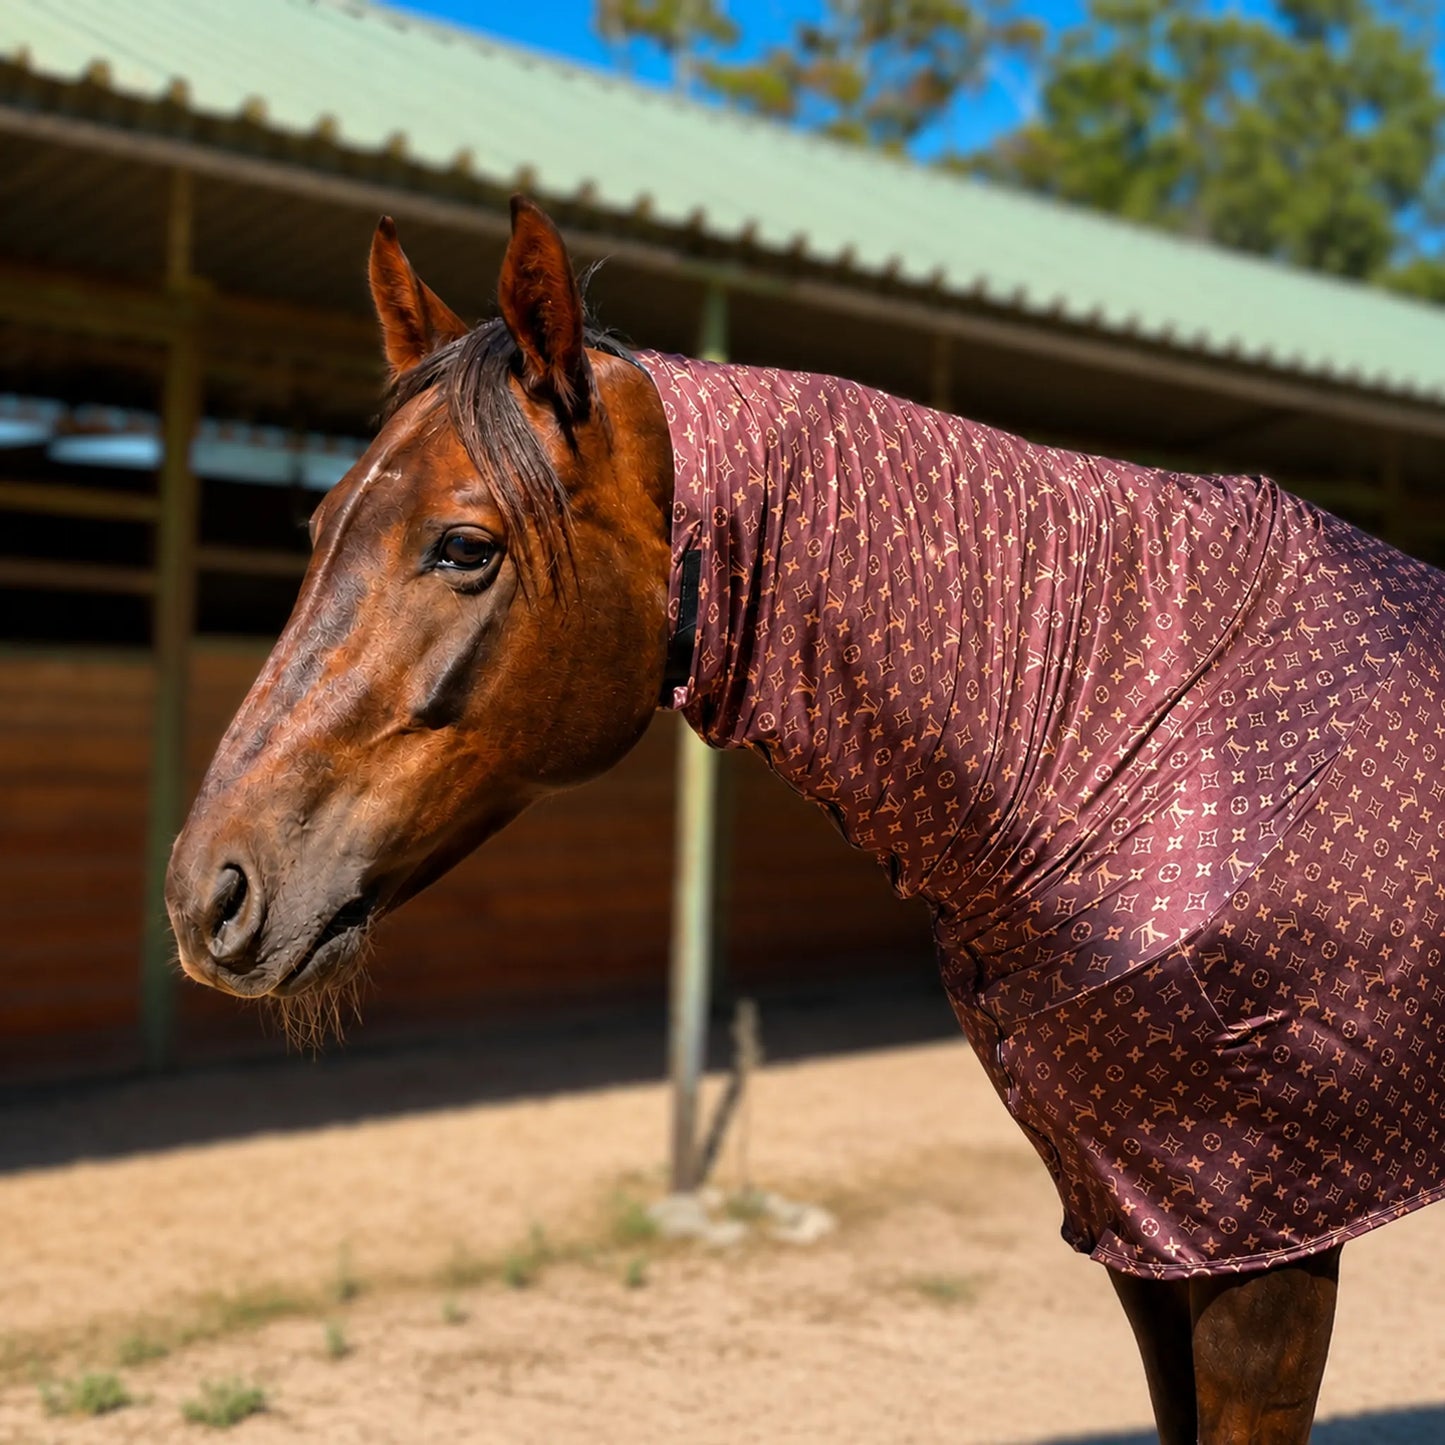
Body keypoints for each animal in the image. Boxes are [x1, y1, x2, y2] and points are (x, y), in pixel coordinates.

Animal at [166, 196, 1445, 1444]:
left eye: (466, 545)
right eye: (318, 524)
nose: (204, 890)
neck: (1146, 727)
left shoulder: (1264, 1247)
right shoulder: (1147, 1237)